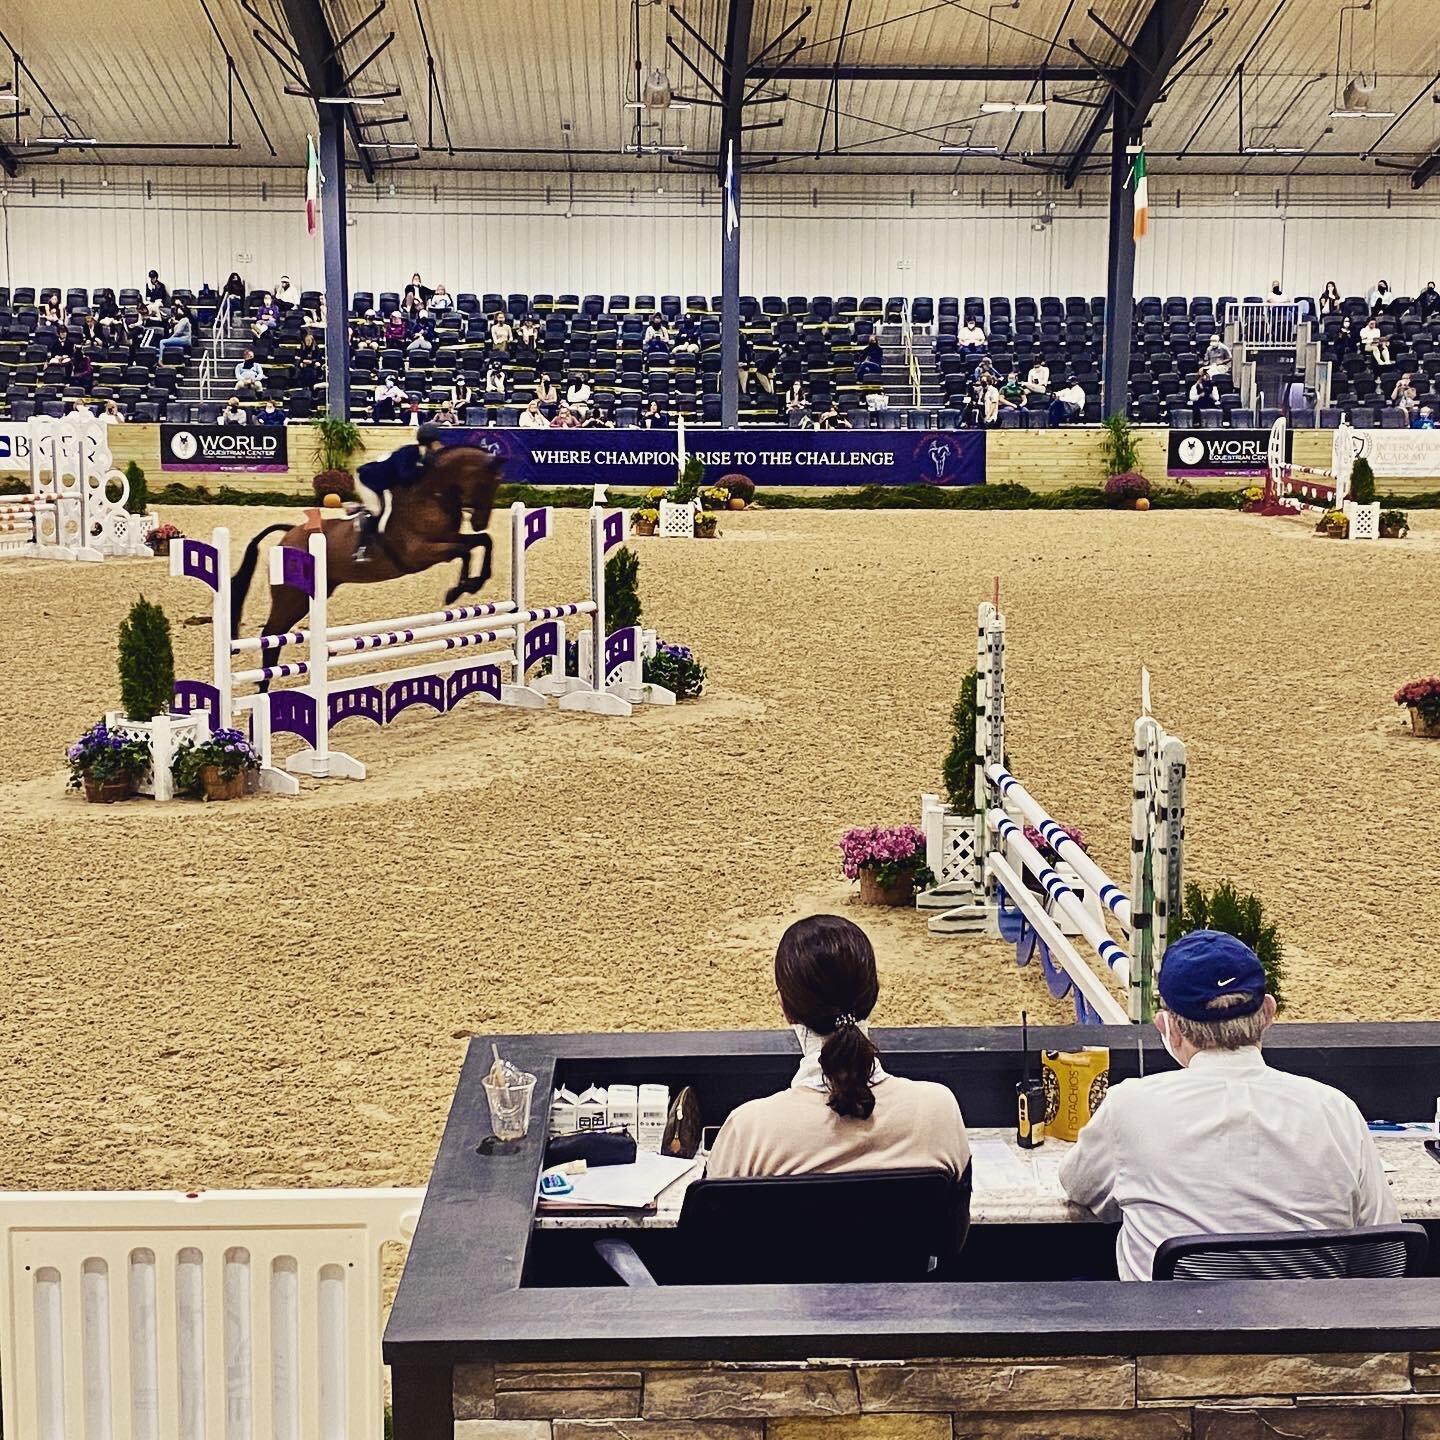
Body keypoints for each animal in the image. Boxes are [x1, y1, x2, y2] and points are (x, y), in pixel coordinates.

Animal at [228, 443, 506, 679]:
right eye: (487, 483)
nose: (479, 521)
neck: (431, 494)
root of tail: (287, 535)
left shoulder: (448, 538)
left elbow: (483, 541)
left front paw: (473, 583)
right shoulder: (420, 553)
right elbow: (465, 551)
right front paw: (457, 590)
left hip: (311, 594)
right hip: (291, 596)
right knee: (270, 635)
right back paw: (265, 688)